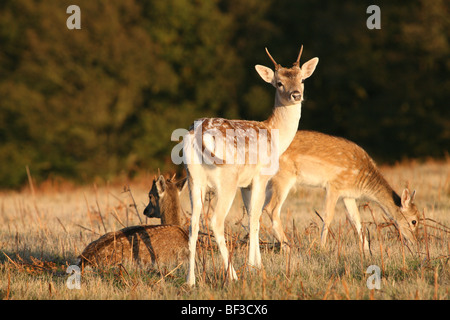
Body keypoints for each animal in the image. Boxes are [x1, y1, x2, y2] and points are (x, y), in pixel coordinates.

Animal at [183, 45, 320, 284]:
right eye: (279, 83)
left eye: (302, 79)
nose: (296, 95)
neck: (275, 134)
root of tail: (198, 133)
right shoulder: (260, 177)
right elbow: (256, 217)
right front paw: (255, 267)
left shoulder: (245, 185)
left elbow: (251, 218)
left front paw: (255, 265)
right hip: (226, 180)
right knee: (215, 221)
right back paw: (233, 275)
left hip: (194, 180)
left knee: (193, 224)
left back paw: (190, 281)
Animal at [264, 129, 422, 250]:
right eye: (414, 221)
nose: (415, 241)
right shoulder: (334, 185)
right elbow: (327, 216)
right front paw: (322, 247)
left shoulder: (348, 194)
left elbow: (356, 220)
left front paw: (366, 250)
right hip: (283, 176)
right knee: (271, 208)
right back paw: (287, 247)